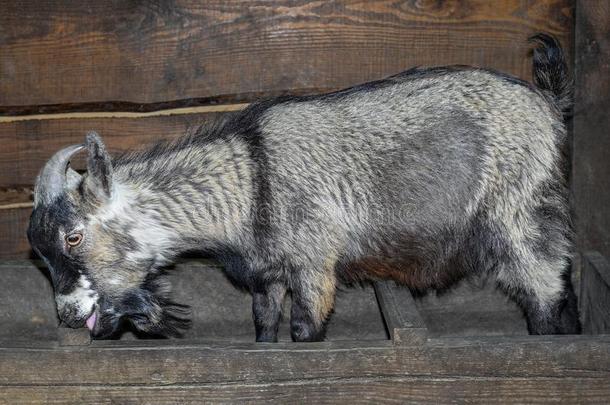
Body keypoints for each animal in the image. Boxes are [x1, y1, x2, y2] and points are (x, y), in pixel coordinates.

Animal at [27, 34, 580, 340]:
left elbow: (304, 330)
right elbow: (264, 329)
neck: (250, 181)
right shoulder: (267, 276)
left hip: (521, 212)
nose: (69, 316)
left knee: (545, 288)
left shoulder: (314, 267)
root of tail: (549, 104)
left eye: (73, 235)